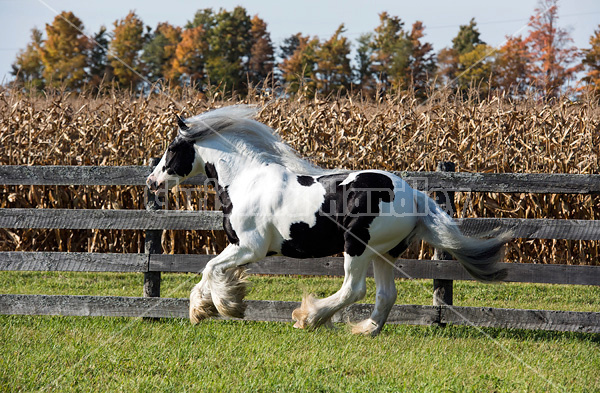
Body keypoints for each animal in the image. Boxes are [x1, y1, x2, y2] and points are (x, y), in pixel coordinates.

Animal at [148, 105, 508, 336]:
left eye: (172, 148)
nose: (152, 182)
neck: (245, 179)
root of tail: (414, 194)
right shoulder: (240, 248)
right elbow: (210, 270)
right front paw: (206, 307)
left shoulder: (249, 246)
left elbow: (211, 267)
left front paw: (222, 306)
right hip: (384, 253)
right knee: (385, 295)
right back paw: (365, 330)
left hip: (357, 246)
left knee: (354, 289)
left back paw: (309, 318)